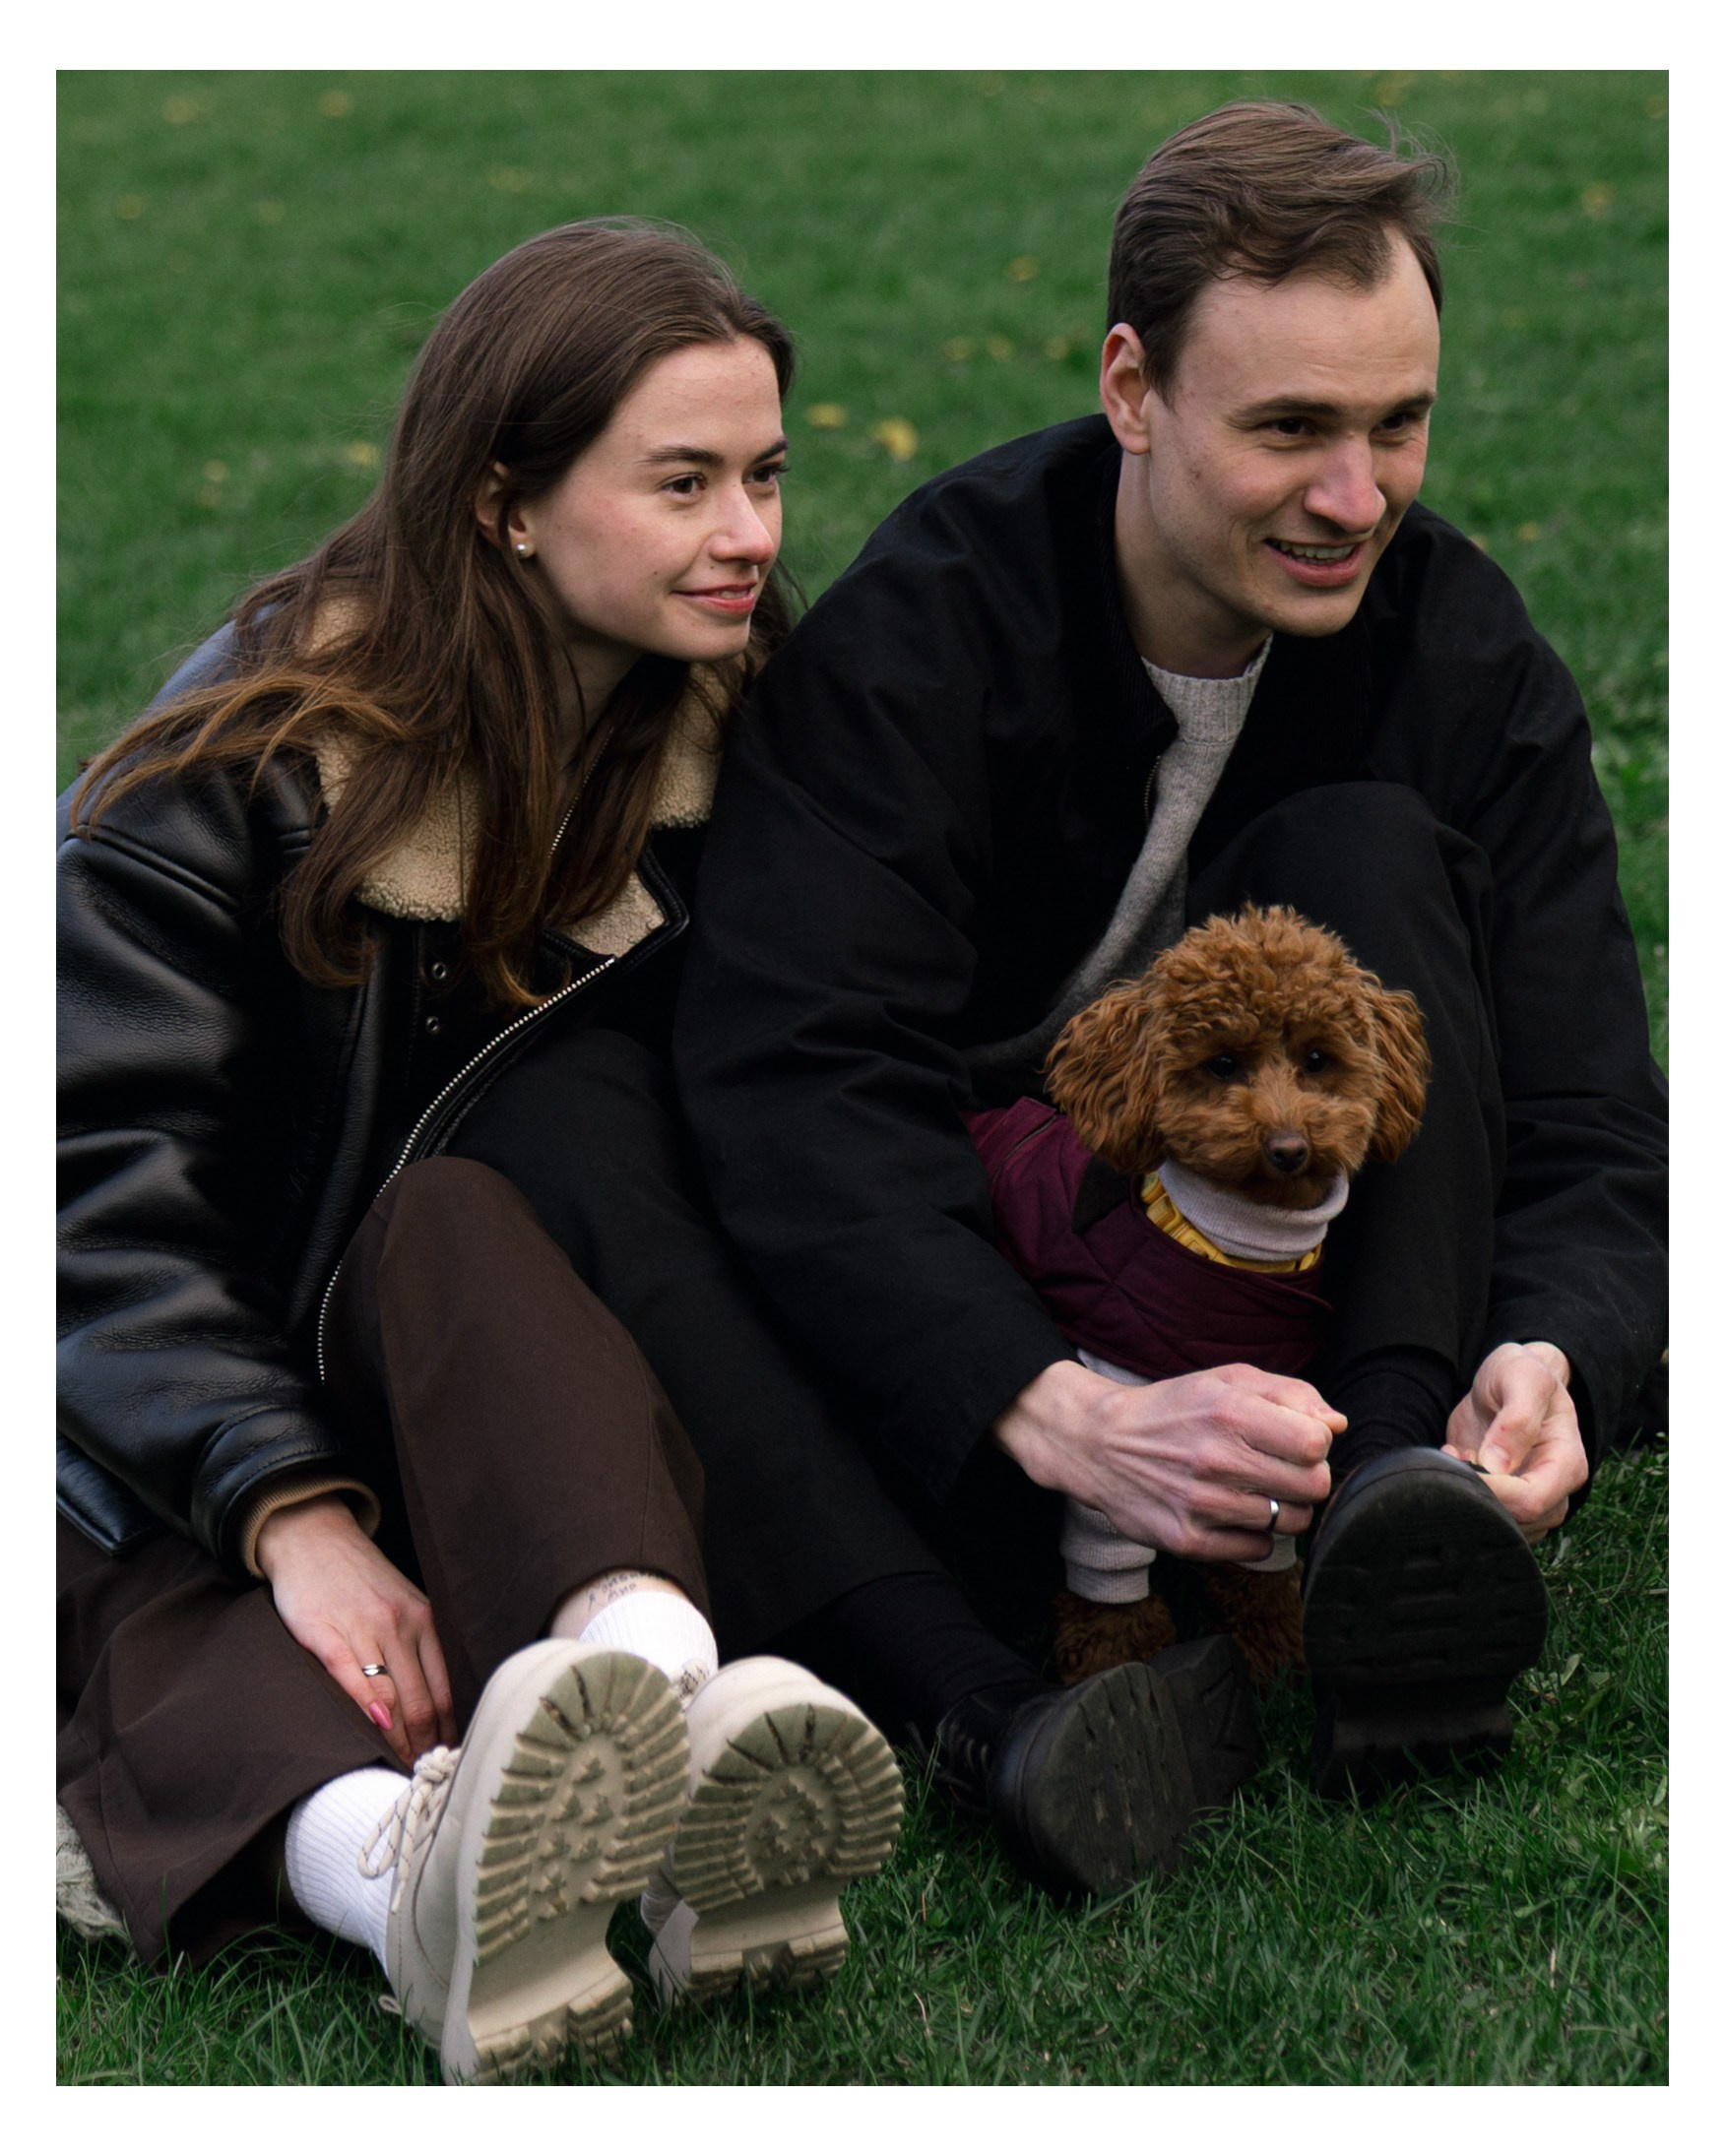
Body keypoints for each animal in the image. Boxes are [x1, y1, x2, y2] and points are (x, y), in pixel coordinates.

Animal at [967, 902, 1429, 1688]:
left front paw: (1277, 1644)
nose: (1288, 1148)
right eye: (1222, 1065)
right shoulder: (1124, 1411)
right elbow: (1110, 1570)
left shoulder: (1278, 1418)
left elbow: (1266, 1563)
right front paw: (1119, 1668)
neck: (1235, 1259)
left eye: (1316, 1059)